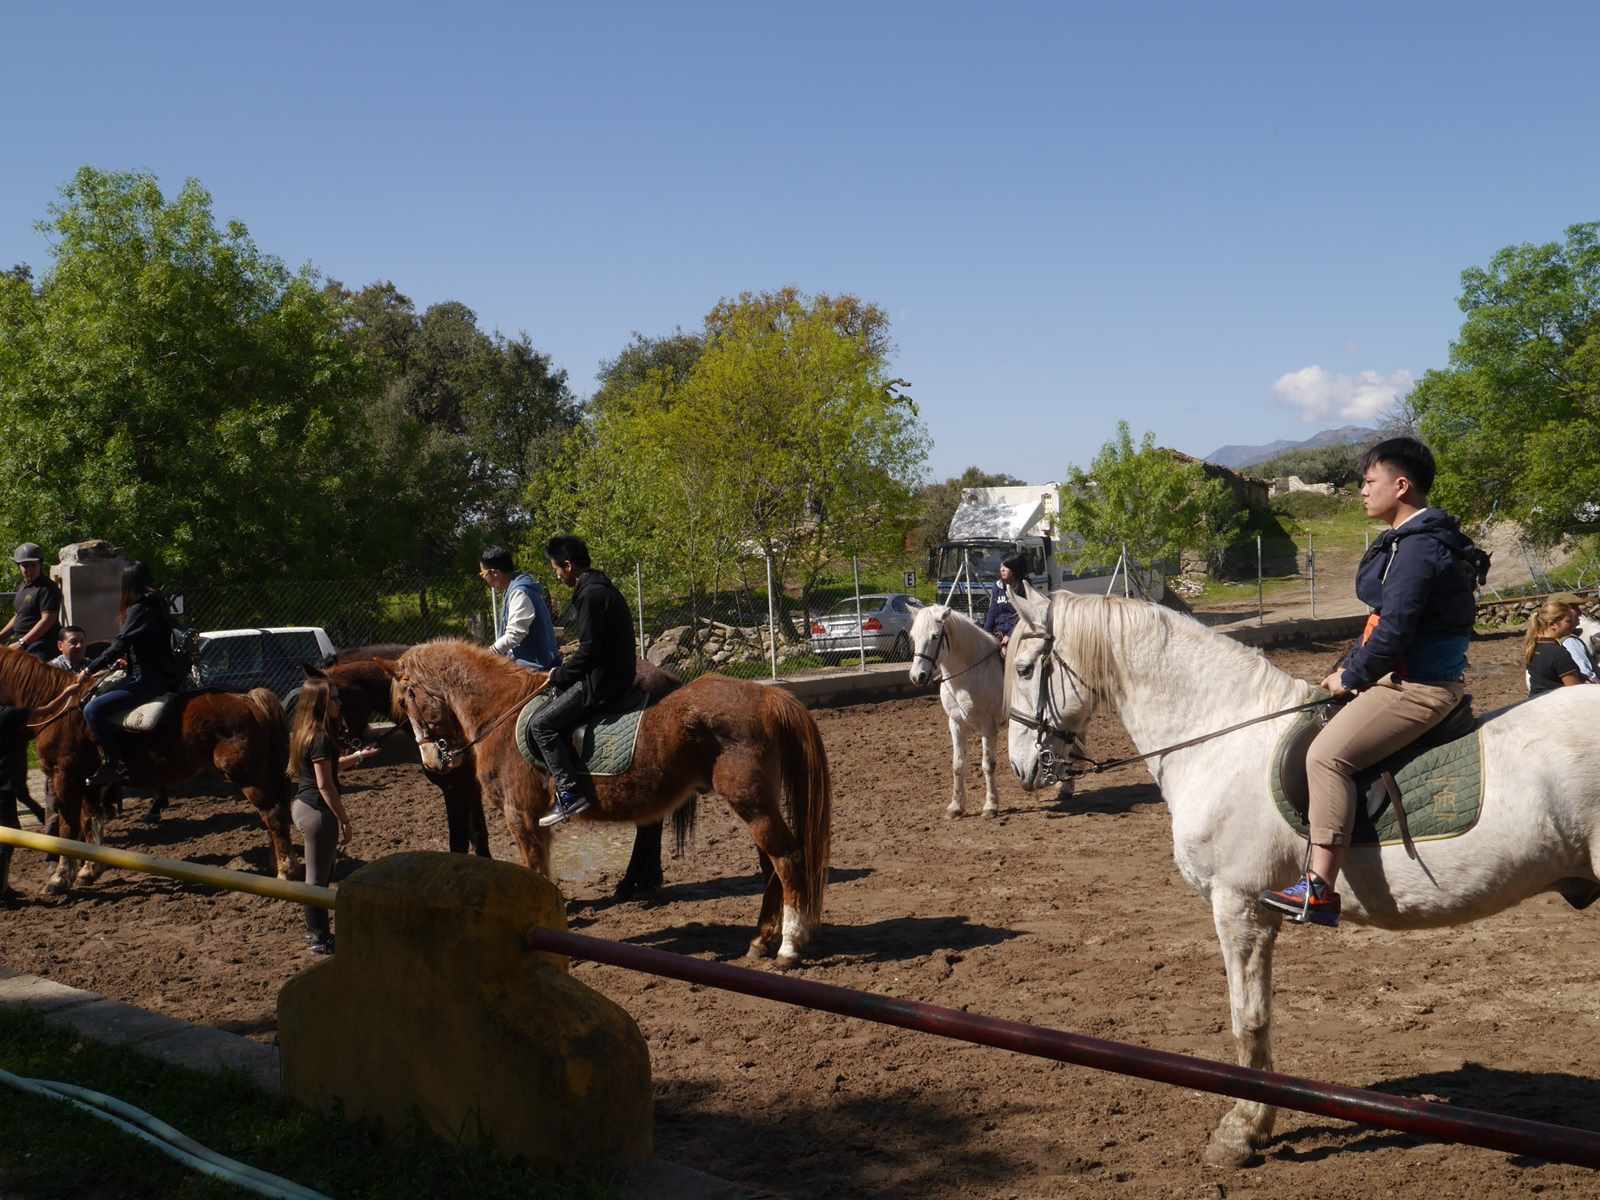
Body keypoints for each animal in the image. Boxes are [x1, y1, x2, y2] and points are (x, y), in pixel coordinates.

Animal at [0, 649, 292, 896]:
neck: (56, 707)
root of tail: (251, 700)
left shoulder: (65, 777)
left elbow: (67, 827)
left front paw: (59, 879)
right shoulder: (90, 782)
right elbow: (90, 822)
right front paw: (88, 871)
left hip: (248, 777)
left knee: (274, 816)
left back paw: (285, 874)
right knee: (272, 817)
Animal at [393, 640, 832, 966]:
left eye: (408, 699)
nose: (433, 761)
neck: (500, 712)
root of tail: (768, 695)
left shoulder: (522, 817)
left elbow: (536, 871)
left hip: (752, 803)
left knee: (787, 860)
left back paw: (789, 947)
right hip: (755, 805)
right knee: (771, 867)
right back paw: (760, 940)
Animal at [915, 604, 998, 825]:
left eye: (935, 636)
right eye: (913, 636)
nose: (917, 676)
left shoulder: (988, 726)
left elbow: (988, 765)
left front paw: (990, 806)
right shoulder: (956, 723)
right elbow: (958, 765)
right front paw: (956, 807)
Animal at [1004, 588, 1600, 1171]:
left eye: (1028, 669)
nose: (1022, 768)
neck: (1220, 738)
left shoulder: (1238, 906)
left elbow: (1247, 1018)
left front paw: (1240, 1132)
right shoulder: (1256, 914)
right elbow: (1258, 1018)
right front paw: (1257, 1123)